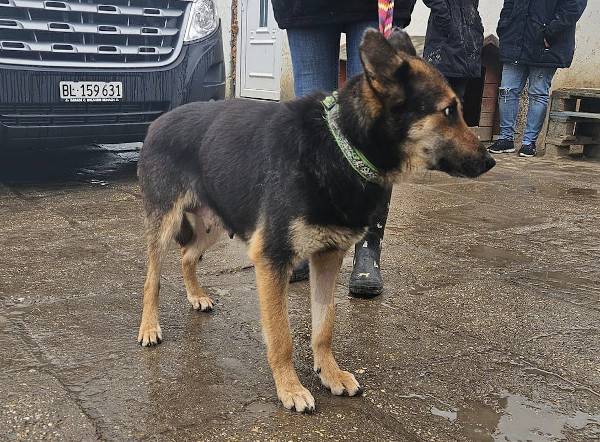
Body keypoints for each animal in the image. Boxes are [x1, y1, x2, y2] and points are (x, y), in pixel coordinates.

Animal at [136, 28, 495, 413]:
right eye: (449, 110)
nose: (490, 161)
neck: (342, 145)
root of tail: (158, 122)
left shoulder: (327, 257)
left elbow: (324, 325)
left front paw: (330, 373)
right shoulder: (272, 258)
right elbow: (281, 336)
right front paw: (290, 388)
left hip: (213, 223)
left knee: (187, 256)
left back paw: (196, 296)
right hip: (166, 224)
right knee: (153, 279)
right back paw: (149, 328)